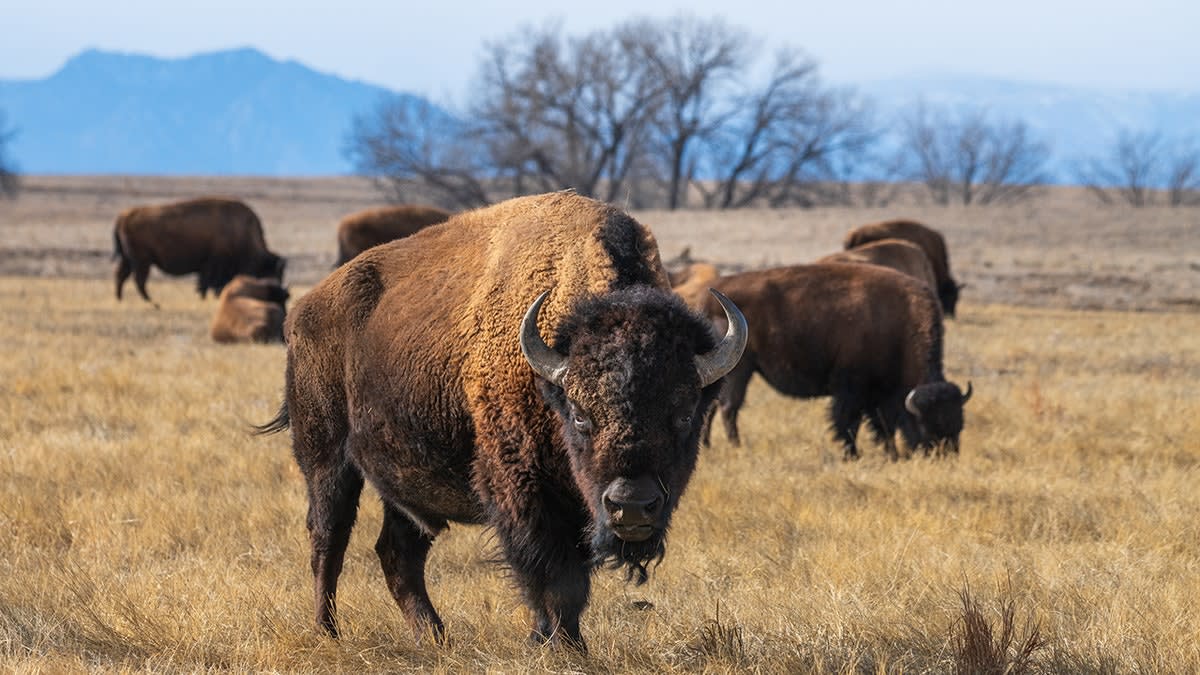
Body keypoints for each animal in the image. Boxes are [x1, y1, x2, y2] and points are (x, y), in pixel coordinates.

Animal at [113, 197, 285, 305]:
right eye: (273, 272)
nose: (280, 293)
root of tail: (124, 215)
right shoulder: (212, 264)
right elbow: (205, 283)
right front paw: (204, 297)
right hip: (142, 260)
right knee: (138, 280)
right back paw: (152, 302)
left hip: (129, 259)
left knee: (122, 276)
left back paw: (122, 299)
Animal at [257, 191, 747, 649]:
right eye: (581, 415)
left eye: (683, 414)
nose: (630, 505)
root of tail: (304, 311)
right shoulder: (523, 489)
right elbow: (555, 578)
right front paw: (563, 647)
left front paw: (554, 640)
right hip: (326, 458)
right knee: (329, 538)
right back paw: (328, 632)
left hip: (405, 481)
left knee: (398, 553)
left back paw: (435, 637)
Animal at [703, 263, 971, 460]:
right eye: (926, 426)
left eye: (960, 425)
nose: (944, 457)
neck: (899, 326)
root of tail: (710, 297)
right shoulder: (852, 389)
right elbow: (848, 422)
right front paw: (853, 455)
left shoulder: (878, 394)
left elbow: (882, 426)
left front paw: (890, 454)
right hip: (741, 368)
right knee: (729, 408)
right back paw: (736, 446)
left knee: (714, 407)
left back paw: (707, 445)